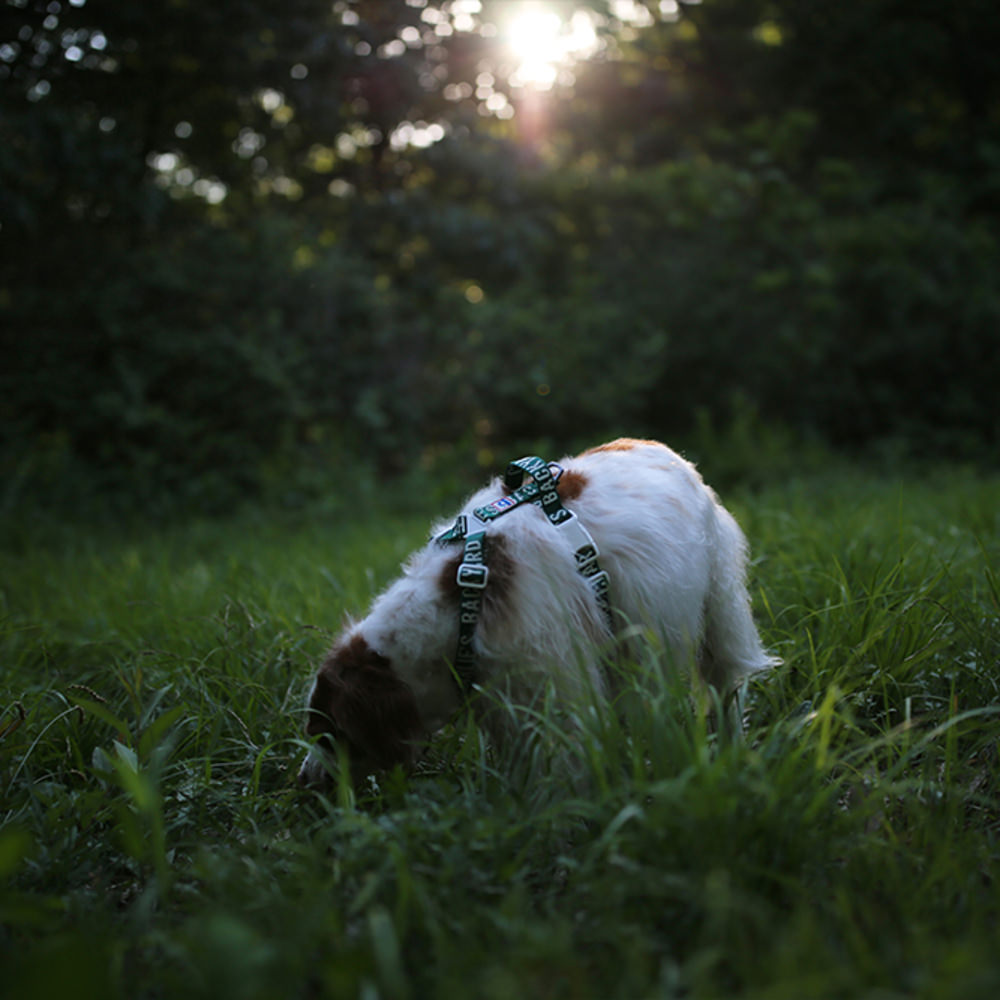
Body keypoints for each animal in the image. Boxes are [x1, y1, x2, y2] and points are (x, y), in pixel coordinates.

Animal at [300, 438, 776, 788]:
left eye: (330, 734)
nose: (306, 783)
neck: (460, 605)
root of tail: (655, 445)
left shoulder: (550, 680)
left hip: (718, 604)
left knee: (725, 684)